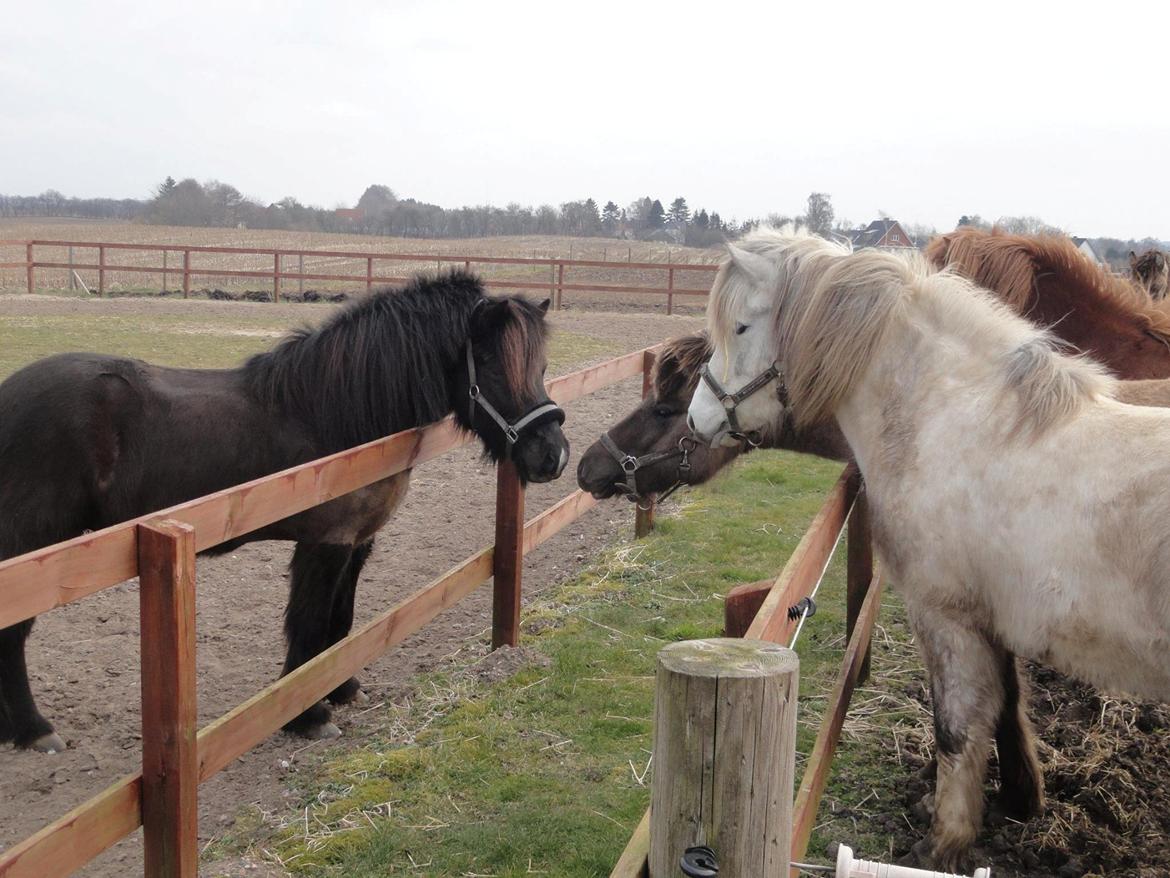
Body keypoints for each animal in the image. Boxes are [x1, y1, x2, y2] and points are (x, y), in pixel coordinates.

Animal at [0, 271, 566, 753]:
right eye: (489, 363)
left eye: (540, 367)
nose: (552, 454)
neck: (341, 414)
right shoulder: (325, 542)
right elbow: (311, 626)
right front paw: (308, 716)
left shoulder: (358, 542)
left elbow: (340, 621)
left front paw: (342, 688)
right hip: (32, 551)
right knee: (13, 632)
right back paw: (33, 730)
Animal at [683, 228, 1170, 875]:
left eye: (740, 327)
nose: (699, 418)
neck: (955, 419)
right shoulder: (991, 620)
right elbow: (1007, 709)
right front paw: (1019, 800)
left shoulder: (946, 617)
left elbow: (957, 728)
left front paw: (945, 842)